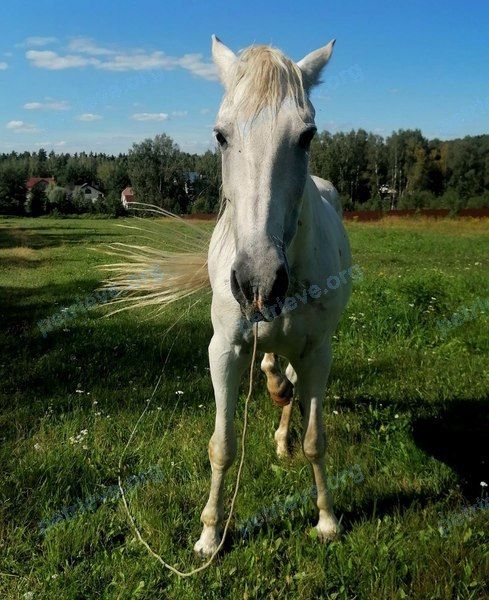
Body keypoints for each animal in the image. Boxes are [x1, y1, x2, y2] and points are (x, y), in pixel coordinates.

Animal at [193, 35, 352, 556]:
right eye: (221, 136)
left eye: (307, 136)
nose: (258, 280)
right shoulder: (223, 350)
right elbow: (222, 445)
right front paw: (209, 535)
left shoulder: (319, 351)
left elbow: (315, 439)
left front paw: (326, 519)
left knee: (292, 390)